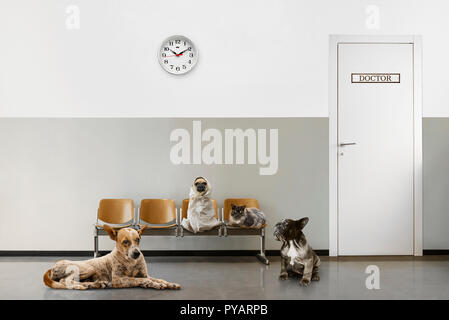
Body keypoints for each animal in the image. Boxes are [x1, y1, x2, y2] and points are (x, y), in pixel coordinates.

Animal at [43, 225, 180, 290]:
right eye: (125, 242)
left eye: (138, 239)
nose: (137, 253)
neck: (131, 262)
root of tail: (53, 266)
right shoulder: (118, 279)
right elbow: (139, 280)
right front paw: (152, 284)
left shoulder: (145, 274)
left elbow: (158, 279)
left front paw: (169, 284)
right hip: (88, 268)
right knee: (65, 281)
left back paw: (96, 284)